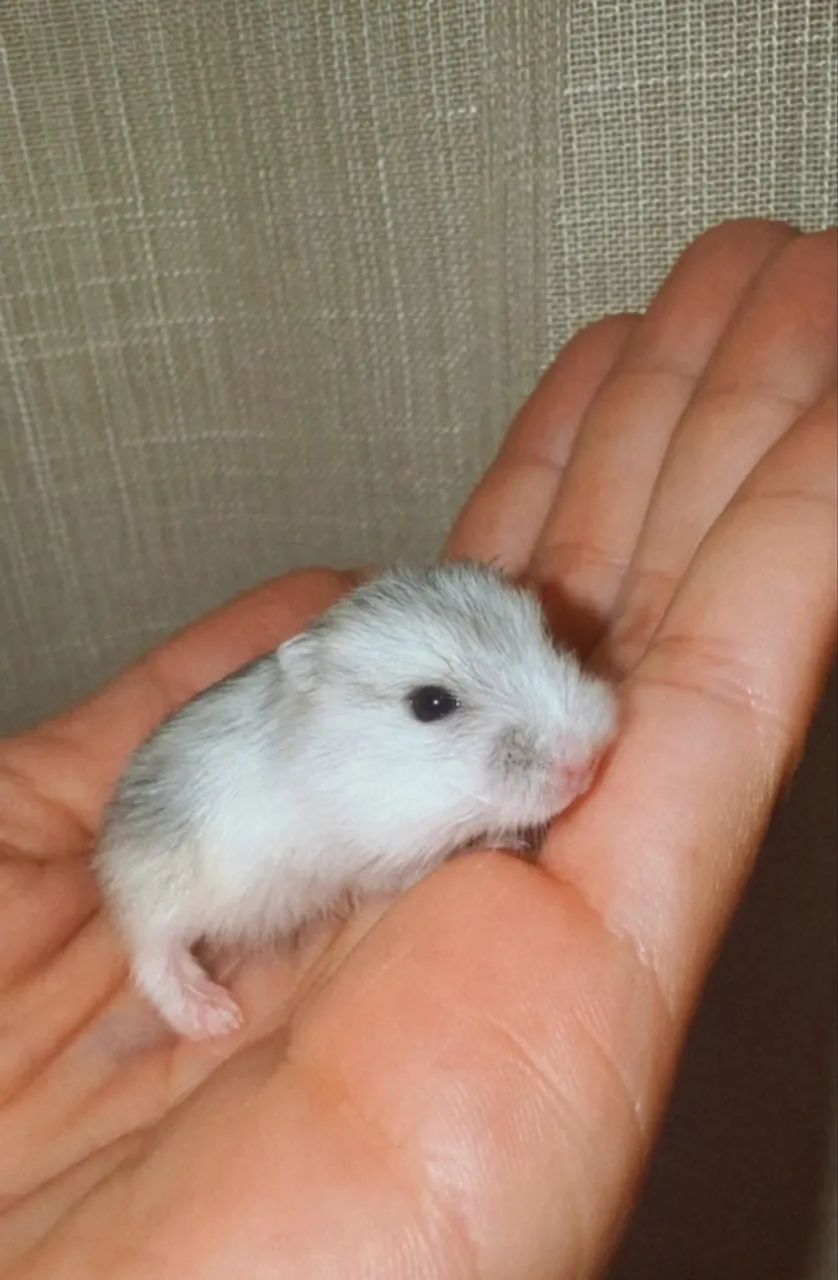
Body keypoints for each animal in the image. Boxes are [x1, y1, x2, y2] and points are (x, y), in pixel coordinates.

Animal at [95, 563, 617, 1039]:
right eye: (431, 704)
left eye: (548, 639)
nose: (583, 765)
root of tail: (108, 844)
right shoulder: (381, 854)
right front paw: (503, 842)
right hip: (159, 890)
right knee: (153, 956)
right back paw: (214, 1016)